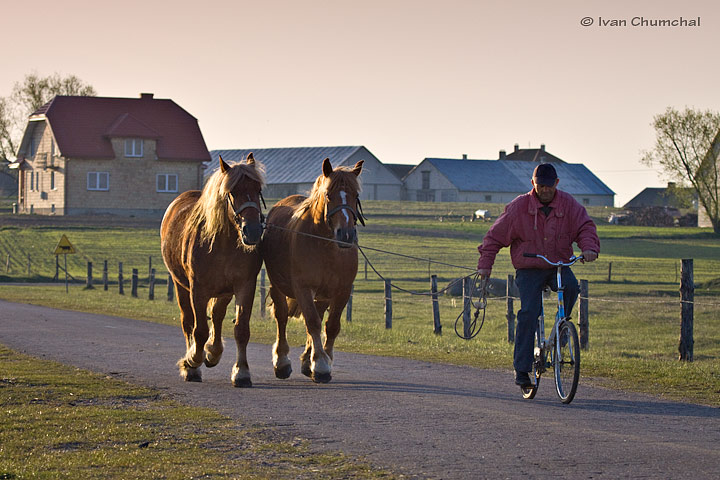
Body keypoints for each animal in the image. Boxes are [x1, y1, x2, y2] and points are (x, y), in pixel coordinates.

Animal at [160, 154, 268, 386]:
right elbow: (199, 330)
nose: (253, 230)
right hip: (181, 286)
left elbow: (241, 329)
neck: (223, 244)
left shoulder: (244, 286)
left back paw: (213, 352)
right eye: (232, 192)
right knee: (188, 322)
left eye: (258, 189)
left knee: (217, 317)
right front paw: (192, 361)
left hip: (224, 292)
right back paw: (194, 364)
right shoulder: (198, 289)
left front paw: (241, 372)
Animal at [260, 159, 366, 384]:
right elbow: (312, 322)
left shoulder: (342, 291)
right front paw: (321, 365)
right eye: (328, 195)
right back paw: (282, 362)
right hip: (278, 286)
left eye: (355, 195)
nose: (346, 234)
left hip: (323, 295)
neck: (326, 247)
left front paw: (321, 360)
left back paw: (307, 361)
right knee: (282, 317)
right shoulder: (303, 288)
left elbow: (331, 326)